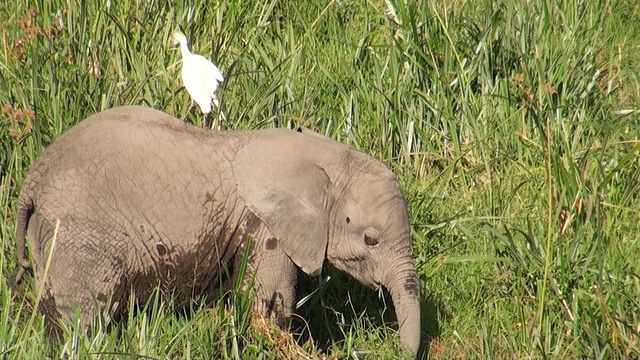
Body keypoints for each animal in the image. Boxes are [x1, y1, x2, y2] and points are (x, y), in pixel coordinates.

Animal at [12, 105, 422, 356]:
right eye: (370, 239)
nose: (392, 350)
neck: (322, 155)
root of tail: (34, 177)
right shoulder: (265, 228)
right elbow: (275, 300)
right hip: (82, 233)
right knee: (86, 315)